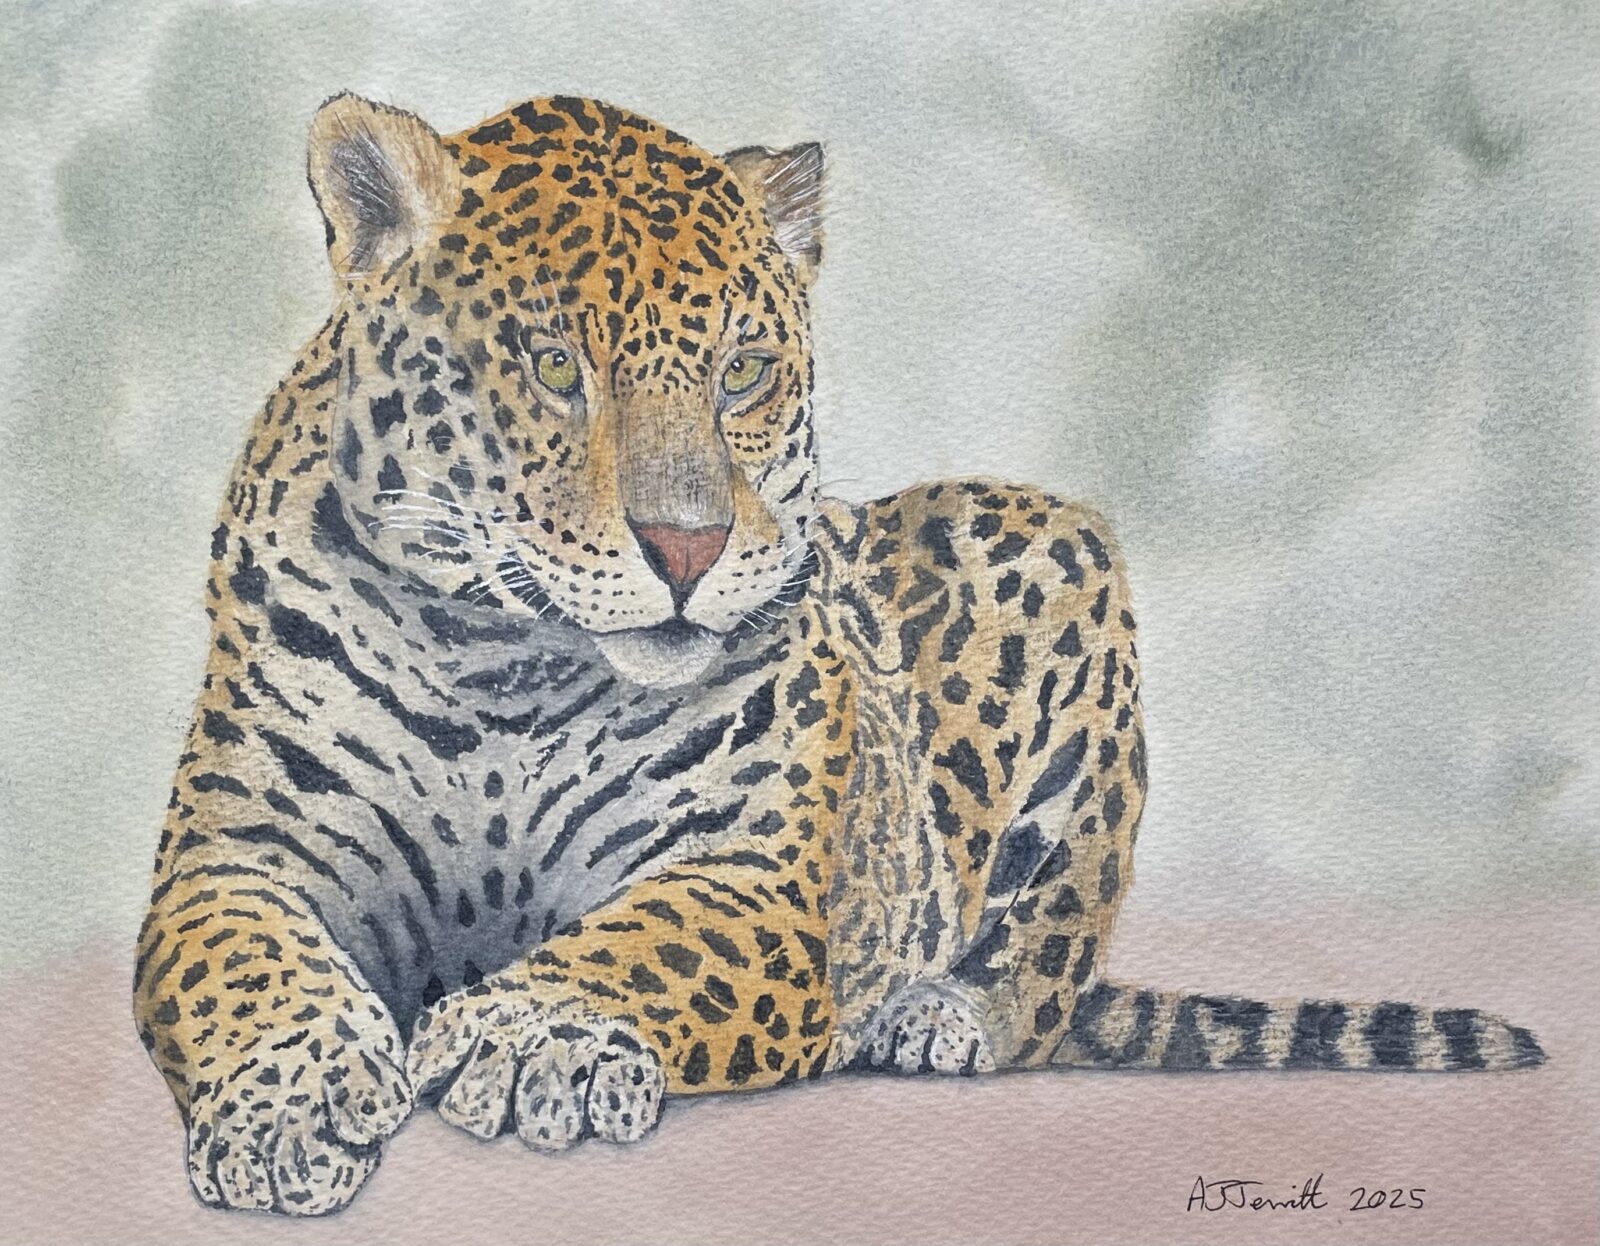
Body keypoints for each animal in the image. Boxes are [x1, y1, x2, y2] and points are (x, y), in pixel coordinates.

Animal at [132, 92, 1545, 1216]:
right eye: (549, 365)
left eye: (742, 370)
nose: (690, 546)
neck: (506, 666)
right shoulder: (235, 855)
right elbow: (242, 968)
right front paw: (289, 1106)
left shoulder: (756, 878)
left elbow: (647, 938)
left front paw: (529, 1031)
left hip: (1059, 558)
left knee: (1047, 950)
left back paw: (934, 1013)